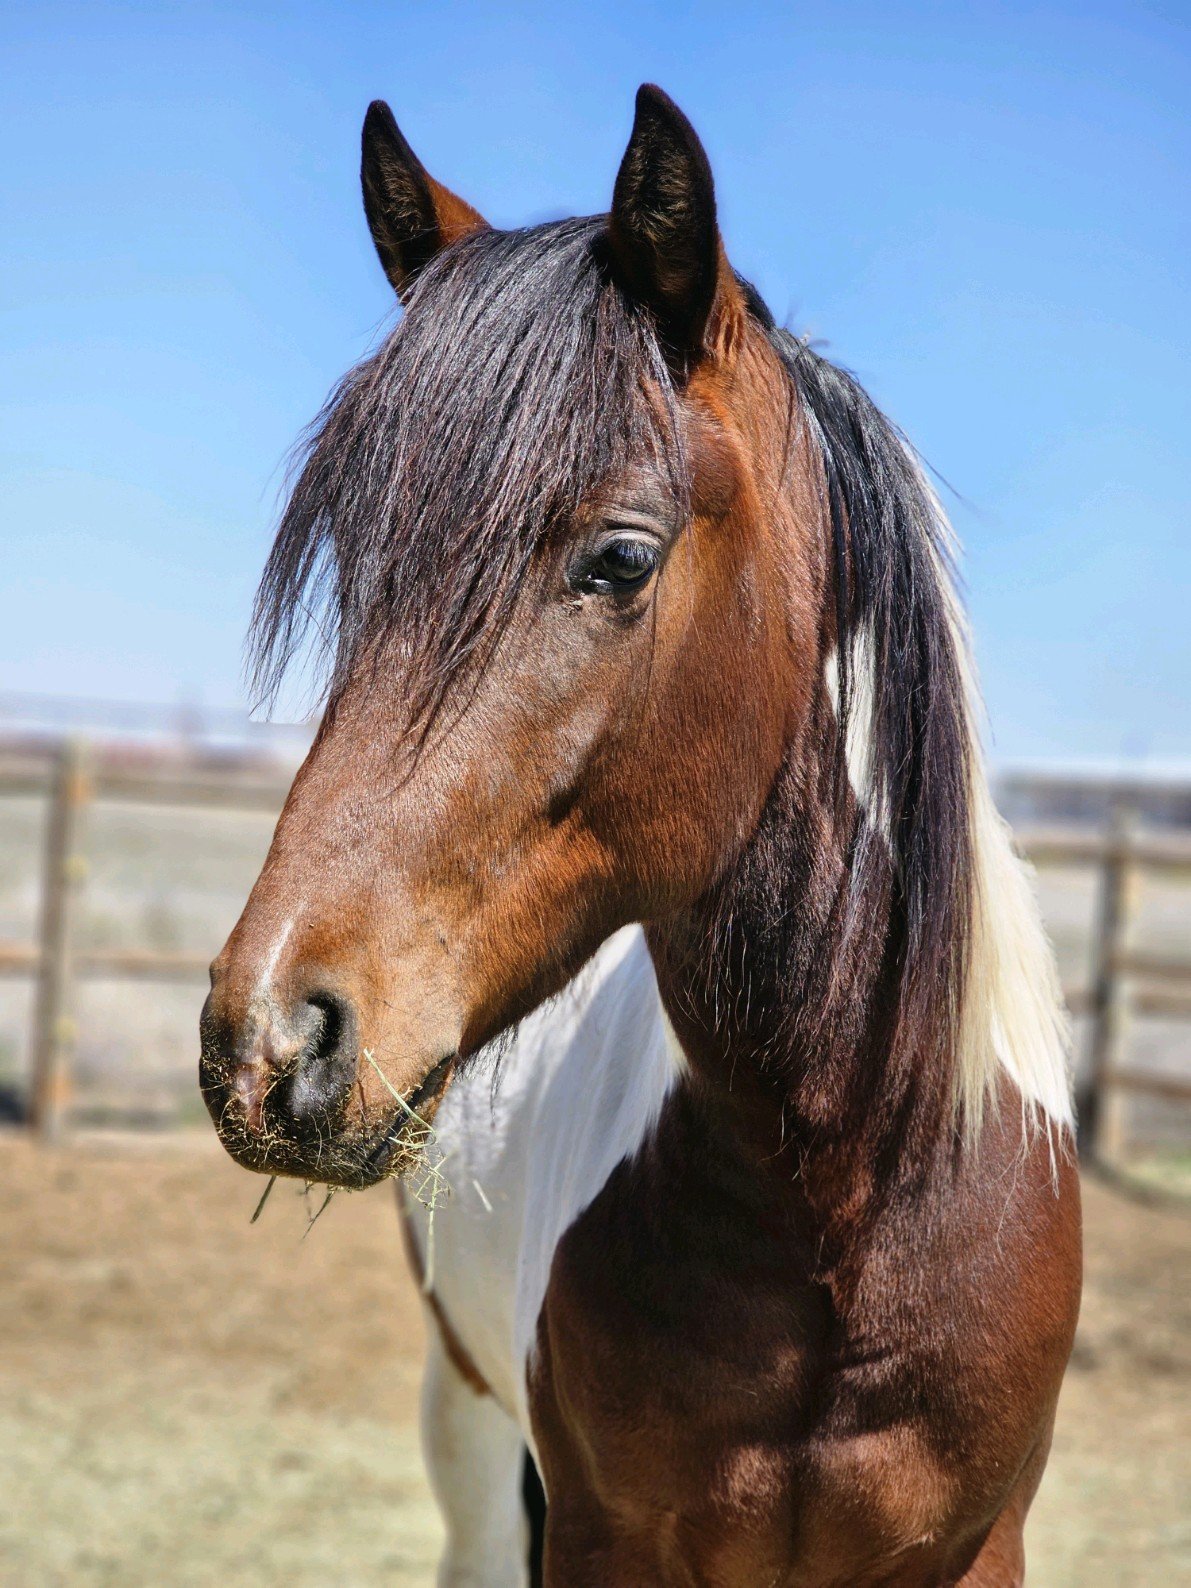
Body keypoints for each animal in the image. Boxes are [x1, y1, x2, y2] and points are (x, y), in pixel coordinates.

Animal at [201, 84, 1082, 1587]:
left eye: (616, 559)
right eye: (363, 573)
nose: (269, 1040)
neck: (838, 1209)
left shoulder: (979, 1548)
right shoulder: (599, 1534)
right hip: (471, 1432)